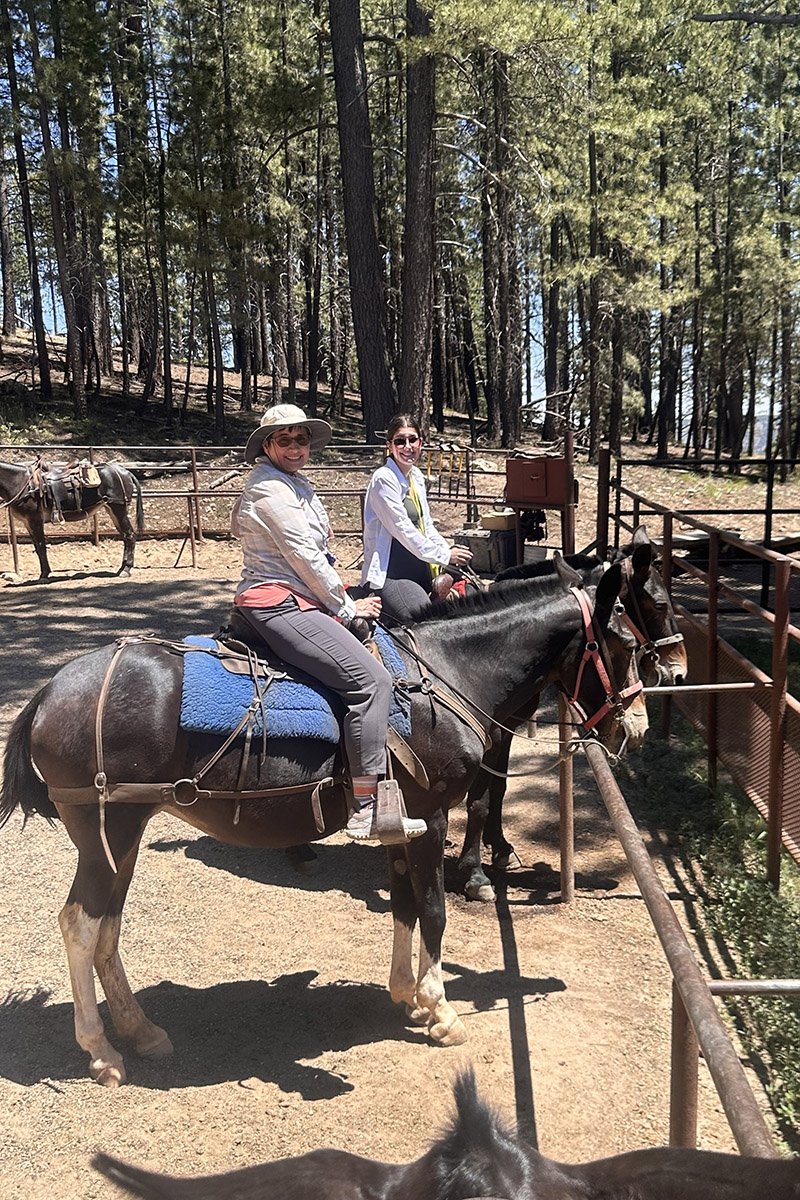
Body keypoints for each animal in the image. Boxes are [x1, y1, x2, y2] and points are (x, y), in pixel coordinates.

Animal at [0, 456, 143, 578]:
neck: (22, 483)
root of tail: (125, 472)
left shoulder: (35, 520)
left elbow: (41, 546)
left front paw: (44, 574)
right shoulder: (28, 522)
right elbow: (37, 546)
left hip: (118, 509)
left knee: (130, 535)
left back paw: (126, 570)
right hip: (112, 510)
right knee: (125, 536)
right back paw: (121, 568)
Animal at [0, 561, 647, 1089]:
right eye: (623, 643)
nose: (634, 727)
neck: (444, 676)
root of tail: (51, 690)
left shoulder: (401, 822)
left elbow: (404, 906)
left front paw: (406, 995)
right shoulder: (434, 813)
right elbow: (434, 910)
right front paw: (440, 1010)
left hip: (123, 838)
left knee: (106, 925)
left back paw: (140, 1030)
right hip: (105, 832)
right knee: (80, 924)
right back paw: (102, 1051)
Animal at [455, 528, 690, 902]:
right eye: (660, 604)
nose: (679, 670)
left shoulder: (505, 731)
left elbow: (499, 786)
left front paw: (500, 845)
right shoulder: (493, 732)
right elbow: (480, 798)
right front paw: (475, 873)